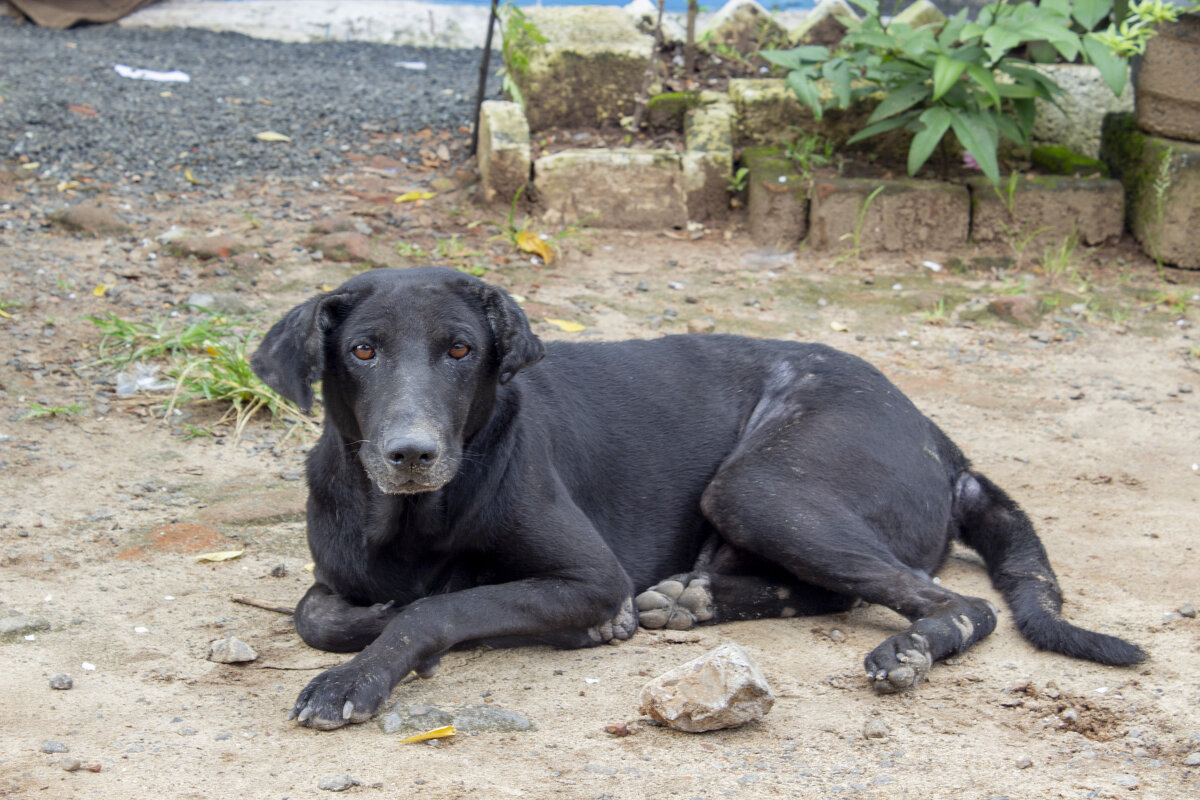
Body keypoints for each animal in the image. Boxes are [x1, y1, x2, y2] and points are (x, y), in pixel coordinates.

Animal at [250, 266, 1142, 729]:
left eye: (461, 350)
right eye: (363, 351)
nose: (411, 454)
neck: (411, 521)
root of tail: (942, 439)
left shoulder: (590, 575)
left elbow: (439, 607)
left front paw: (365, 669)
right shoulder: (337, 574)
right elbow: (315, 613)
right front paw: (374, 618)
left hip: (759, 485)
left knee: (955, 602)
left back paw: (913, 647)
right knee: (826, 591)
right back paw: (691, 600)